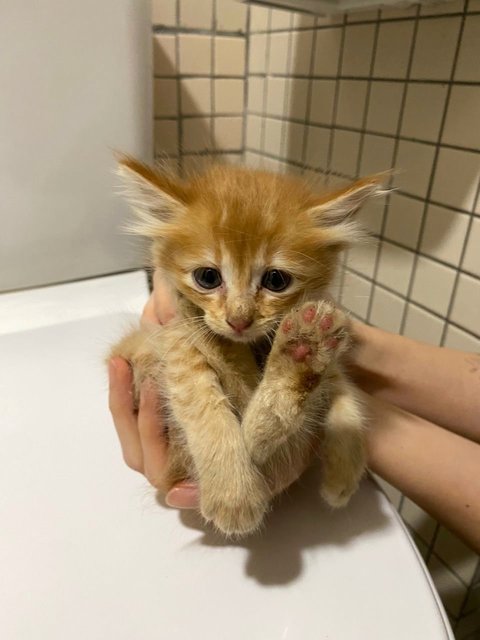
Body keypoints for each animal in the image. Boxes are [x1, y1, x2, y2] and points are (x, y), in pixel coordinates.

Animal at [110, 159, 384, 536]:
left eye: (276, 280)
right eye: (207, 277)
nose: (238, 320)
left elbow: (344, 393)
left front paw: (344, 471)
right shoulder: (173, 342)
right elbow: (205, 408)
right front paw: (233, 494)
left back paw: (301, 355)